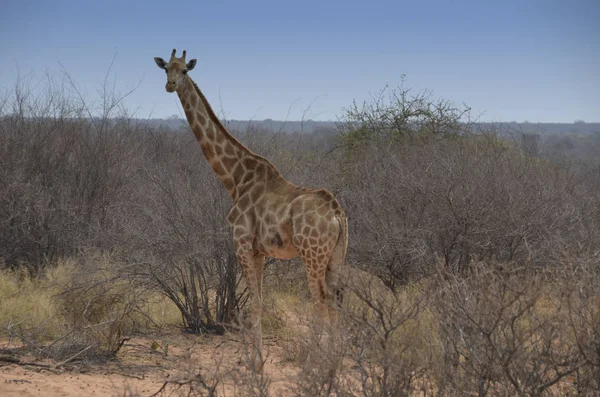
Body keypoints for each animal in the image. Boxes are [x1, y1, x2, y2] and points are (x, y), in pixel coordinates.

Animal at [155, 50, 346, 372]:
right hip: (335, 257)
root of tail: (337, 213)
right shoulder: (260, 251)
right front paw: (257, 359)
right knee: (333, 300)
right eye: (166, 68)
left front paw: (255, 363)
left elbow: (254, 303)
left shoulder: (242, 244)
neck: (234, 178)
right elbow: (259, 301)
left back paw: (316, 365)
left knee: (320, 301)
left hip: (312, 254)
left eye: (184, 71)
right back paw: (331, 364)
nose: (170, 85)